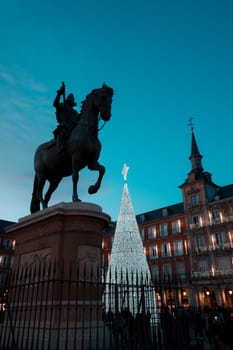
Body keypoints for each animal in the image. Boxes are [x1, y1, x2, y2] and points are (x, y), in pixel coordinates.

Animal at [29, 84, 113, 213]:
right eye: (103, 97)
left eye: (111, 99)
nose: (106, 115)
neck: (89, 132)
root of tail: (37, 151)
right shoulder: (76, 157)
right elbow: (75, 177)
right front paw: (75, 198)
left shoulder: (91, 162)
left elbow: (102, 169)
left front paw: (92, 189)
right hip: (42, 174)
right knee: (39, 193)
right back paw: (44, 209)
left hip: (55, 179)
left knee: (47, 195)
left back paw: (47, 208)